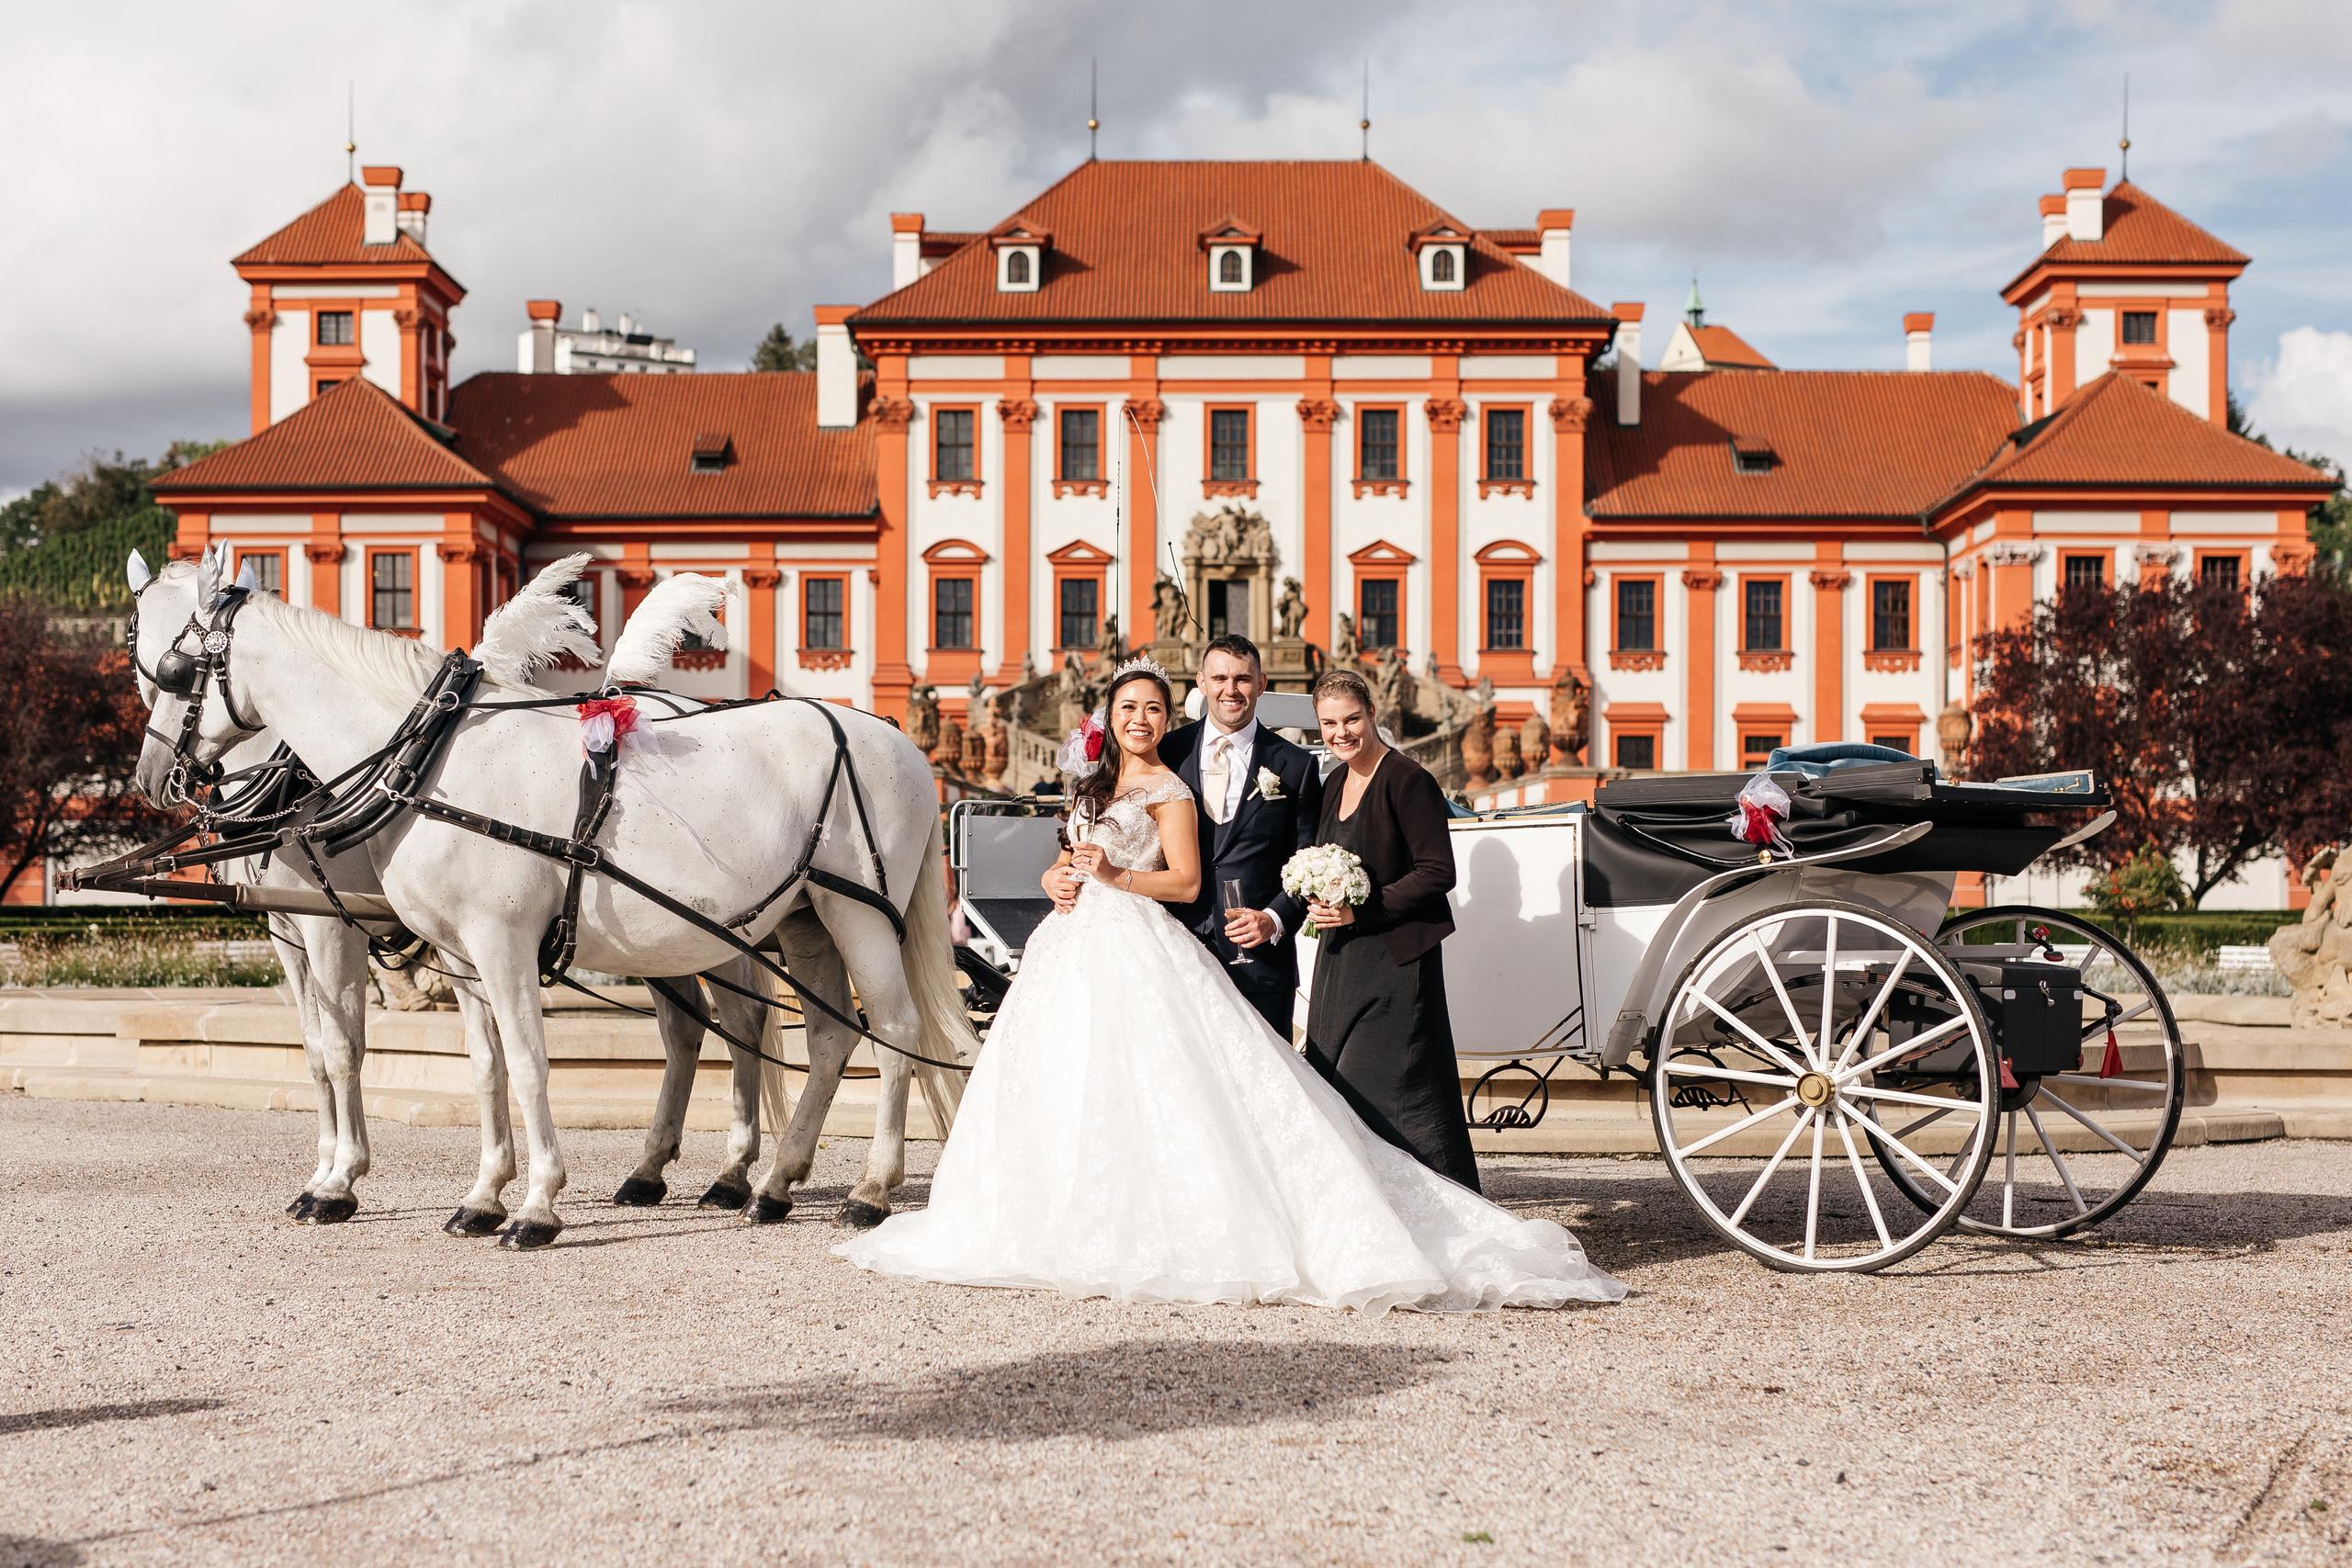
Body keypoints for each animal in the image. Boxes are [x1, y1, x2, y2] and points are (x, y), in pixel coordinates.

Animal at [126, 552, 973, 1250]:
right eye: (143, 659)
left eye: (173, 668)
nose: (151, 775)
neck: (429, 757)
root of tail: (895, 737)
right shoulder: (438, 951)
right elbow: (479, 1067)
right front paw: (481, 1193)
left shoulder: (447, 937)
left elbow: (515, 1062)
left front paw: (529, 1203)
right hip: (792, 919)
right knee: (817, 1036)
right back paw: (765, 1183)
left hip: (857, 913)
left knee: (888, 1030)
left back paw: (868, 1188)